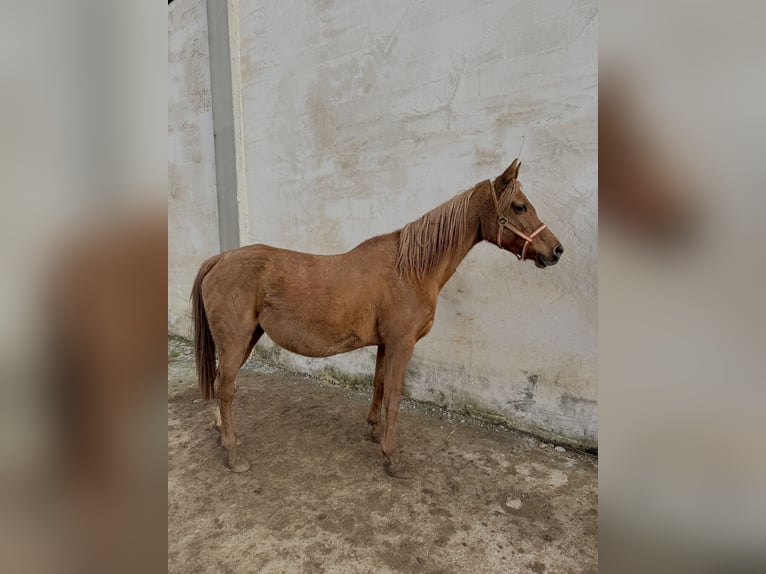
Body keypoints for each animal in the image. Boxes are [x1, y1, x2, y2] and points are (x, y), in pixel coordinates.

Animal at [191, 159, 563, 476]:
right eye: (520, 206)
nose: (556, 250)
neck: (410, 269)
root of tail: (220, 258)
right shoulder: (402, 343)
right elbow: (396, 395)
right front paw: (391, 457)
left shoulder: (386, 344)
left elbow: (380, 385)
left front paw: (374, 431)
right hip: (237, 340)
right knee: (226, 388)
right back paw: (233, 454)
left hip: (247, 338)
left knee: (222, 386)